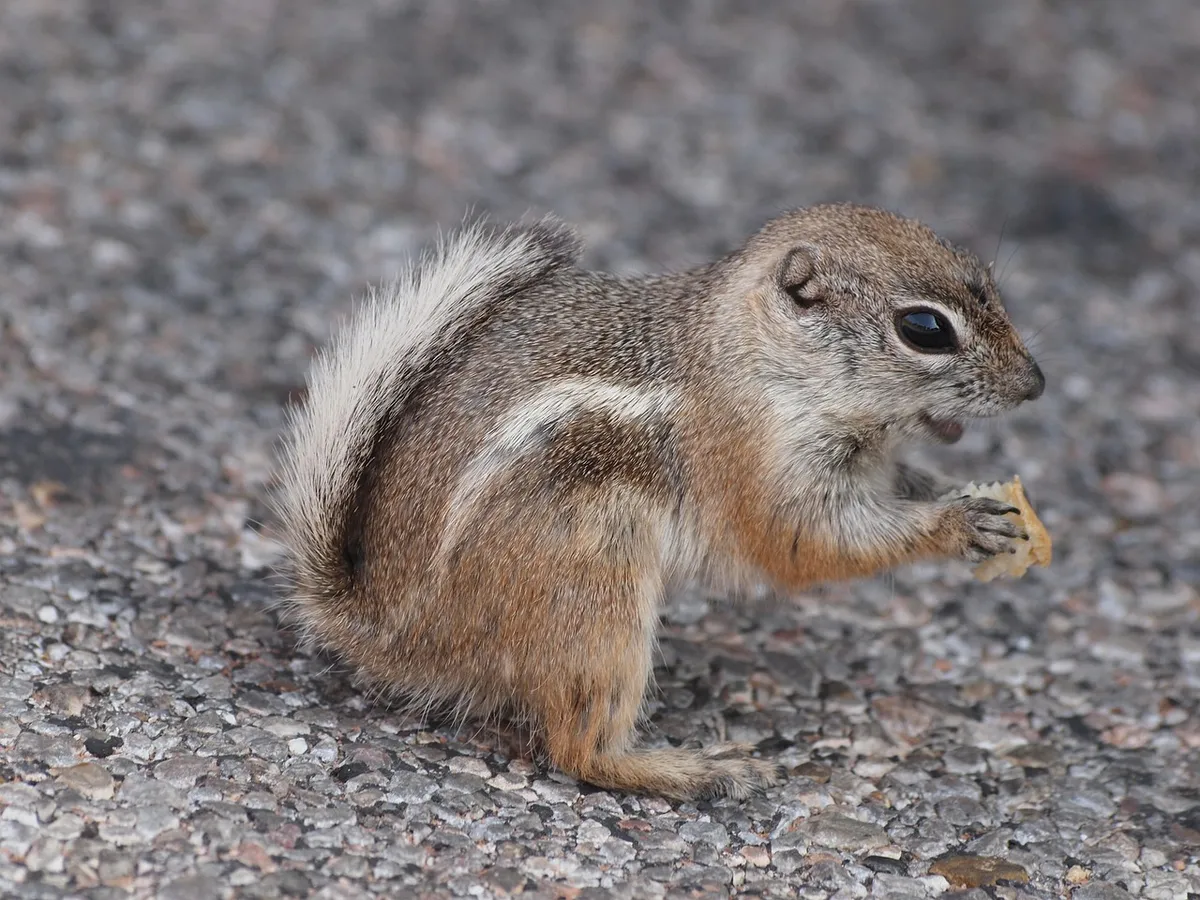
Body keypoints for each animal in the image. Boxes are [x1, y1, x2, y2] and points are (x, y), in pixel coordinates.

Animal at [272, 203, 1046, 801]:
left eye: (984, 278)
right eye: (924, 329)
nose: (1035, 384)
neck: (758, 354)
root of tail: (393, 630)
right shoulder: (754, 458)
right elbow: (803, 543)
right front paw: (958, 524)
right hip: (594, 591)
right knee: (578, 750)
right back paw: (691, 769)